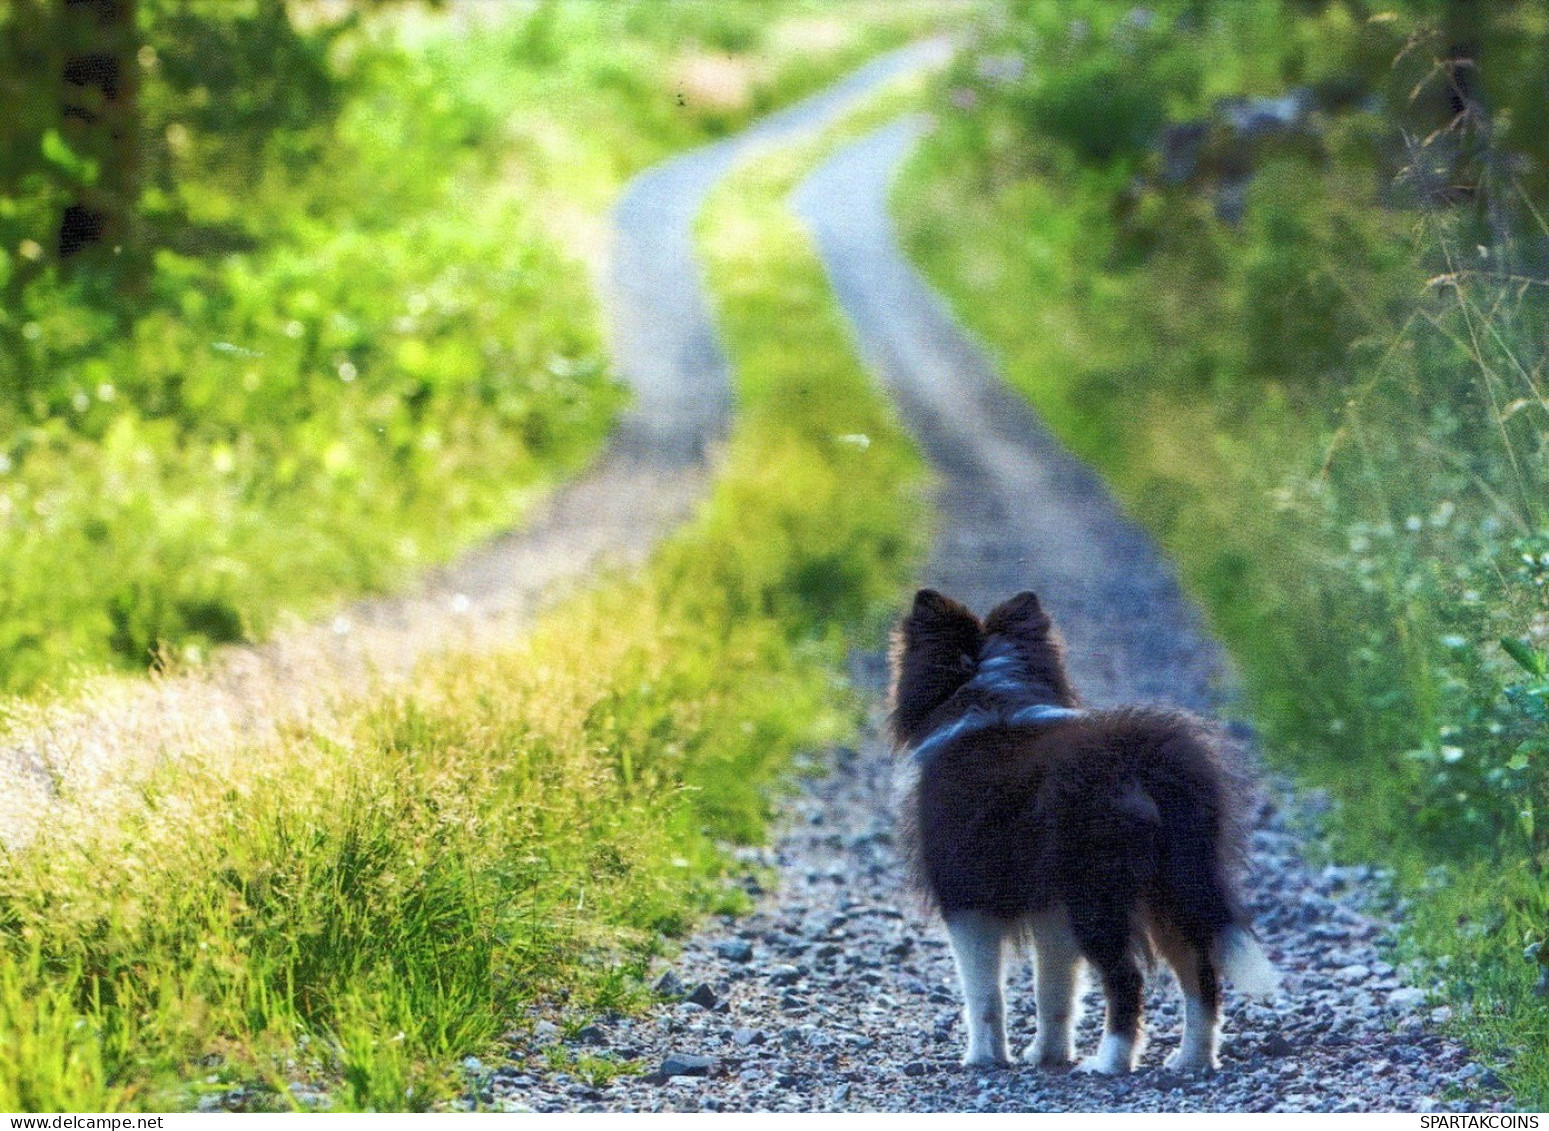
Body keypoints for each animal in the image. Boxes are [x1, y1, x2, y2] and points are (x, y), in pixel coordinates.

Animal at [892, 585, 1276, 1072]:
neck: (987, 694)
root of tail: (1141, 759)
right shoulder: (1050, 909)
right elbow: (1054, 989)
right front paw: (1047, 1055)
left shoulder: (966, 902)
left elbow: (983, 994)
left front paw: (982, 1059)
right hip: (1173, 882)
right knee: (1200, 970)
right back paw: (1191, 1059)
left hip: (1098, 890)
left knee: (1127, 978)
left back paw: (1110, 1062)